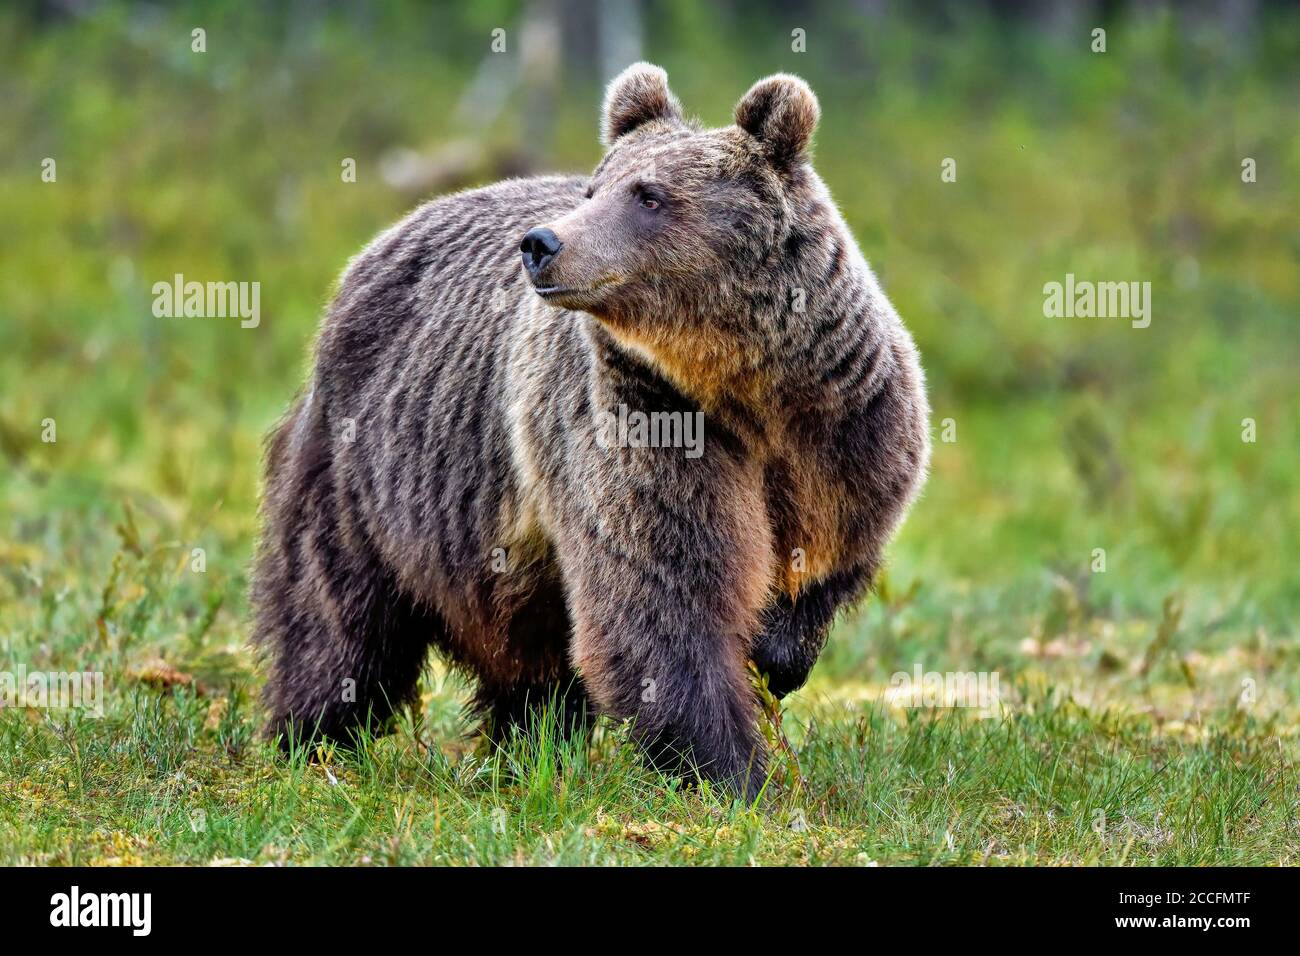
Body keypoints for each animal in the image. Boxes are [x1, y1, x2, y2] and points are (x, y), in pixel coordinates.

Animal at [250, 61, 925, 801]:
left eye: (649, 195)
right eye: (595, 188)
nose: (542, 244)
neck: (744, 385)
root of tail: (383, 240)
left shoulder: (848, 427)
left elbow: (837, 550)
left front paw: (777, 655)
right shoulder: (643, 414)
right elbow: (662, 592)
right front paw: (729, 770)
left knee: (534, 657)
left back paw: (528, 750)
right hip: (374, 471)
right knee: (341, 620)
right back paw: (310, 739)